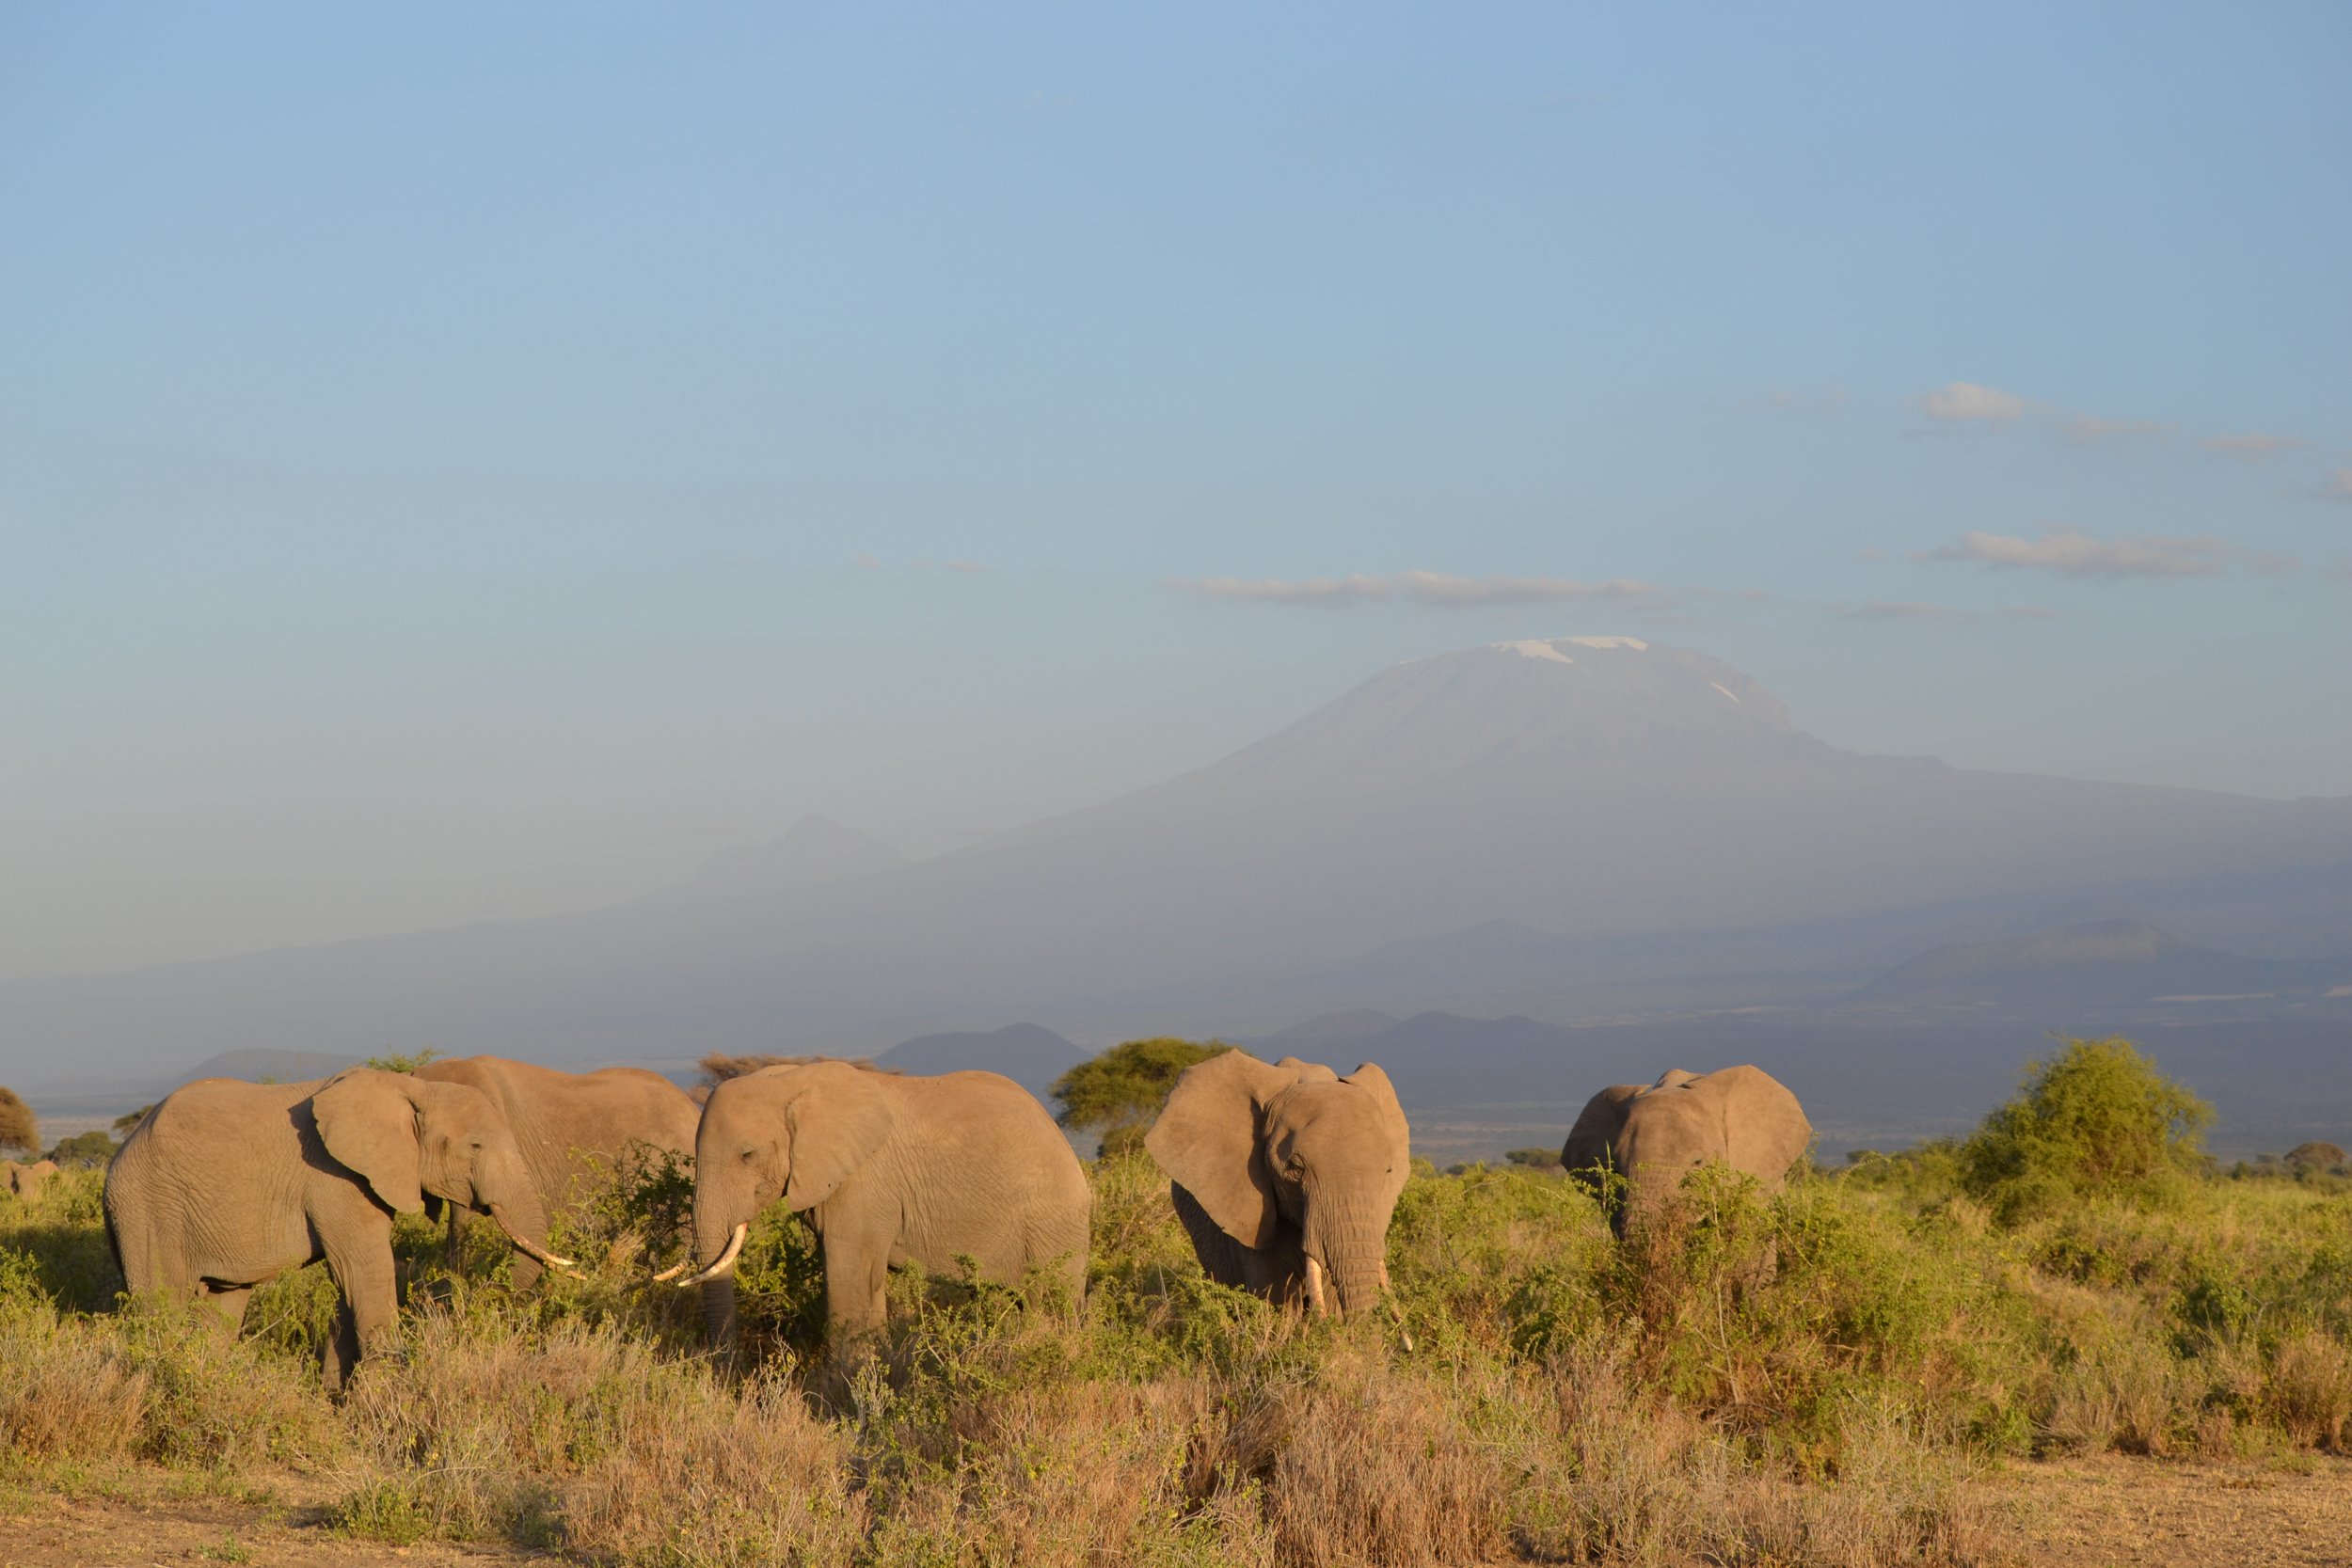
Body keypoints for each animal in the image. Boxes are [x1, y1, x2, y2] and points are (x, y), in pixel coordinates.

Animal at [104, 1068, 563, 1389]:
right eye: (475, 1146)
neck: (412, 1088)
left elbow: (350, 1281)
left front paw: (337, 1396)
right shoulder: (335, 1178)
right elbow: (365, 1271)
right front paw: (385, 1398)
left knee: (222, 1305)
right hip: (148, 1209)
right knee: (162, 1303)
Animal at [676, 1060, 1091, 1350]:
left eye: (747, 1155)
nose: (727, 1368)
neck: (791, 1081)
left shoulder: (866, 1183)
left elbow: (849, 1276)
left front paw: (842, 1390)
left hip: (1053, 1225)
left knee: (1049, 1307)